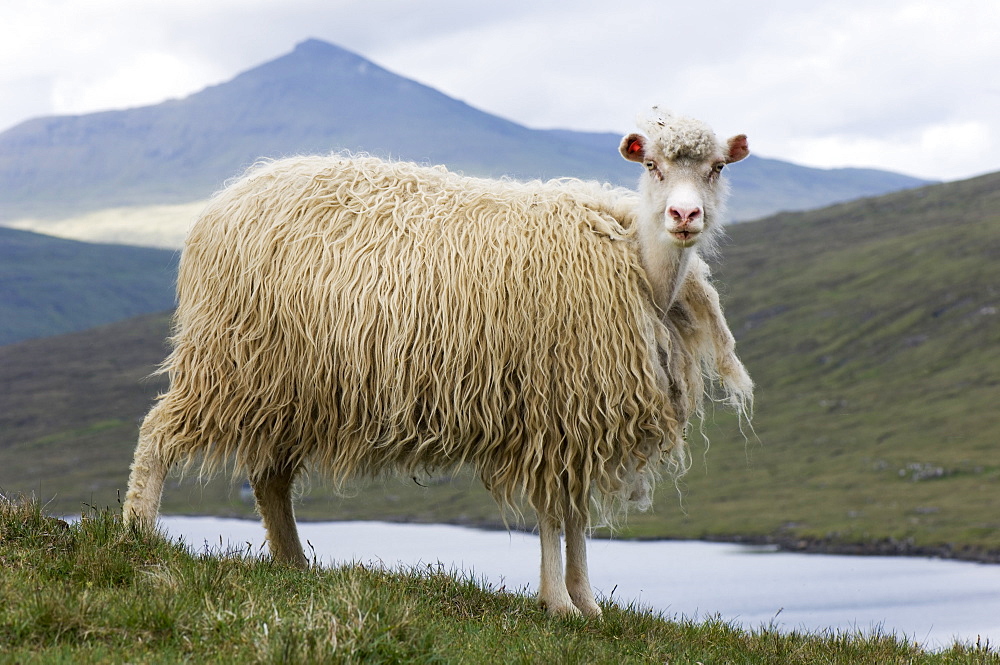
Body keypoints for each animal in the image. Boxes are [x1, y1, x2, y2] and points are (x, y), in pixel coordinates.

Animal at [123, 106, 752, 616]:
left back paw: (293, 563)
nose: (684, 216)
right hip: (229, 359)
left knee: (270, 479)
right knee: (157, 432)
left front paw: (587, 604)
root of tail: (228, 197)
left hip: (292, 384)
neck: (636, 263)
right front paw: (558, 603)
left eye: (718, 168)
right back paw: (137, 533)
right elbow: (553, 514)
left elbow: (574, 515)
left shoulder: (581, 416)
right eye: (653, 166)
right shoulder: (552, 410)